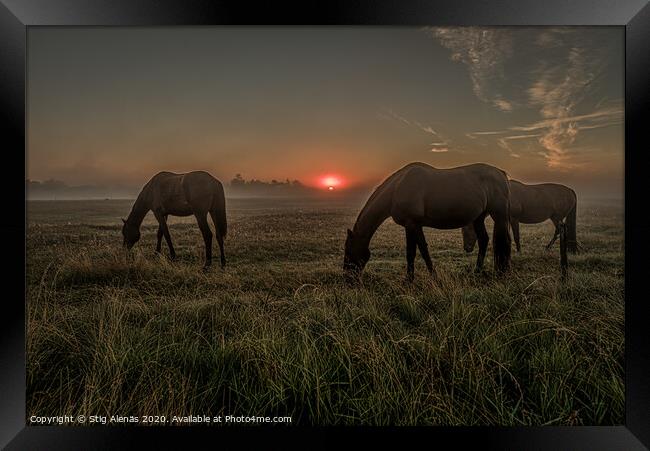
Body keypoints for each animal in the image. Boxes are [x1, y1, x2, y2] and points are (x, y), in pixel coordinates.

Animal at [344, 162, 512, 282]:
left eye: (348, 250)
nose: (348, 278)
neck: (397, 188)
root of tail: (501, 174)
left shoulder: (411, 224)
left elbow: (414, 252)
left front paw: (413, 280)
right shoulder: (414, 226)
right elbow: (420, 250)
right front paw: (422, 277)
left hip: (499, 216)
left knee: (504, 241)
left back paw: (500, 273)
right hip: (478, 218)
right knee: (484, 240)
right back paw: (477, 271)